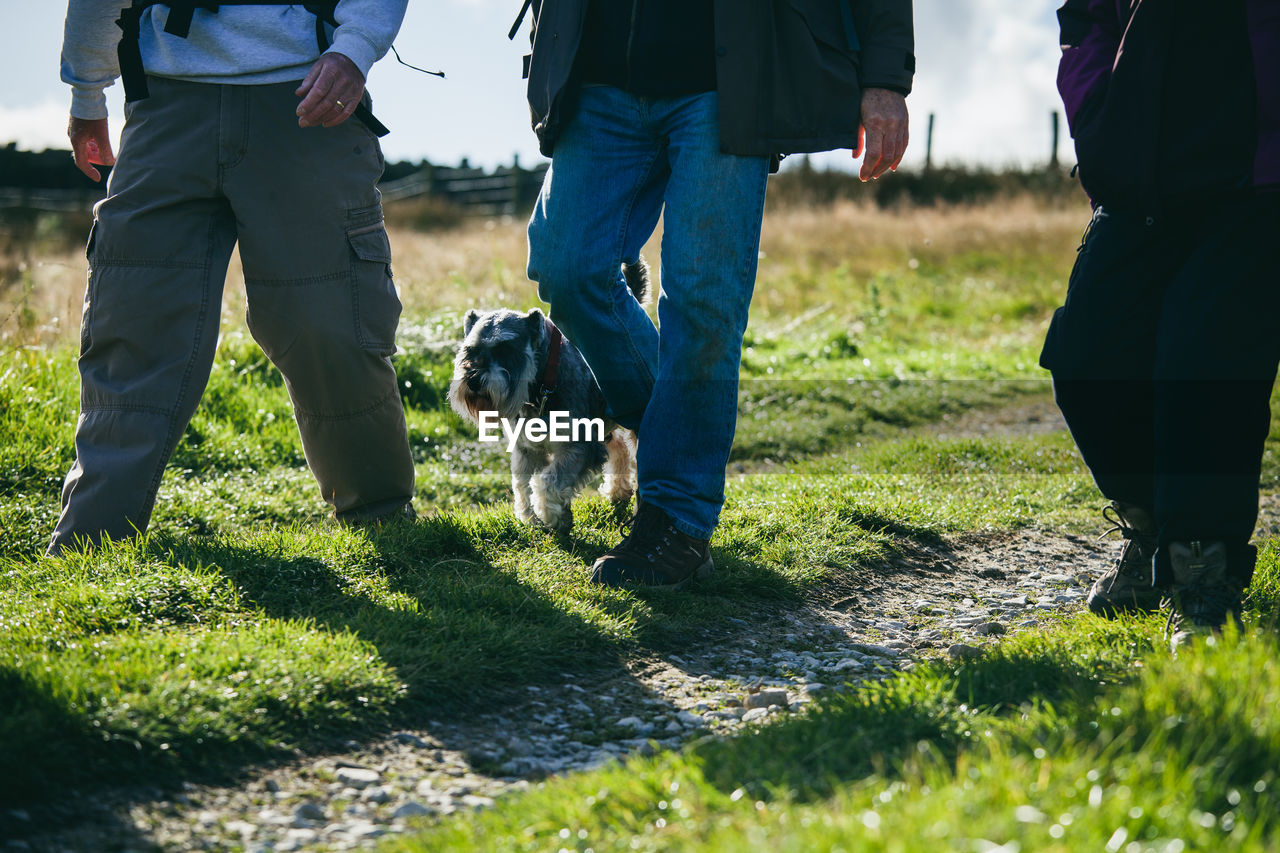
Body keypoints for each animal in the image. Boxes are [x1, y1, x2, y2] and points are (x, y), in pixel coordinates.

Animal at [450, 262, 650, 532]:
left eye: (506, 349)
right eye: (469, 350)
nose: (472, 381)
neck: (541, 385)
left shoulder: (579, 447)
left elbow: (548, 481)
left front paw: (553, 516)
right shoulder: (526, 449)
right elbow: (522, 485)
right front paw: (531, 518)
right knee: (618, 447)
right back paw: (617, 492)